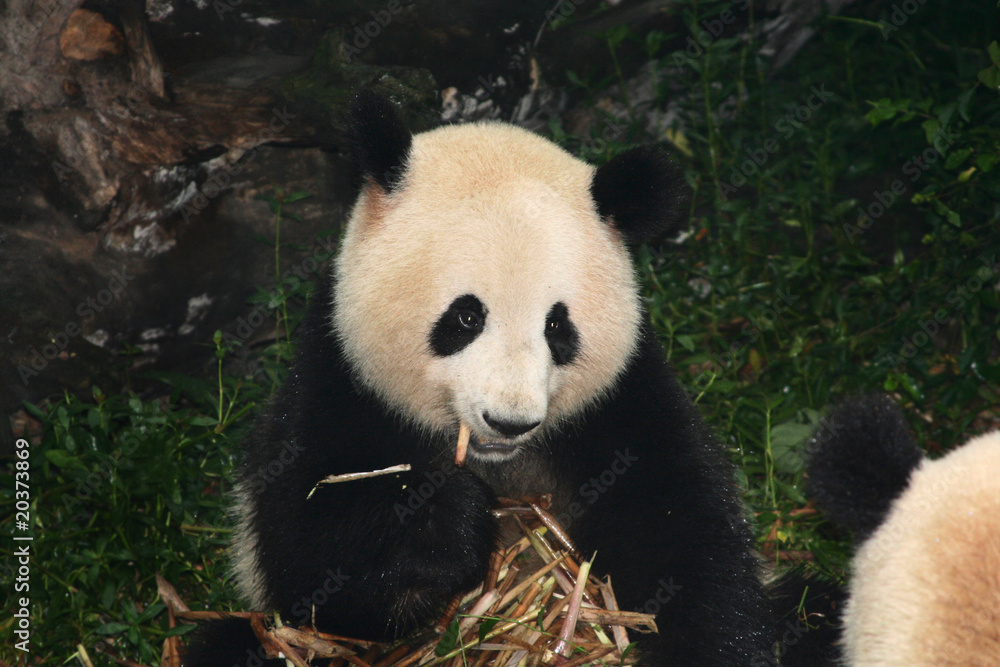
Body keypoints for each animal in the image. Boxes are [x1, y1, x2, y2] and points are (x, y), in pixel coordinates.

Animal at [184, 90, 802, 666]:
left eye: (557, 326)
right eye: (465, 317)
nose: (509, 421)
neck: (496, 463)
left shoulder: (621, 402)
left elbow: (686, 538)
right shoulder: (338, 382)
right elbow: (312, 558)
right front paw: (447, 524)